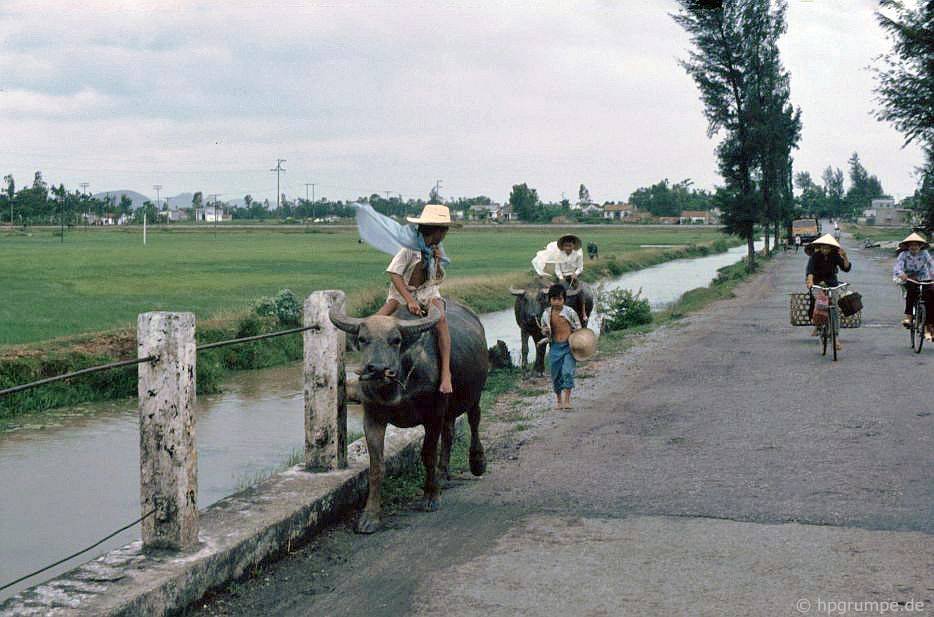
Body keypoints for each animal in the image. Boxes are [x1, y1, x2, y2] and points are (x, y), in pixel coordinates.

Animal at [330, 300, 486, 532]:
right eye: (363, 339)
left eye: (396, 340)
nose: (378, 369)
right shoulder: (373, 418)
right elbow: (376, 466)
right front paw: (370, 516)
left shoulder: (433, 415)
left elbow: (428, 454)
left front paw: (430, 497)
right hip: (449, 408)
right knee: (449, 433)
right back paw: (443, 474)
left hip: (474, 394)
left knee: (474, 421)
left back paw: (477, 462)